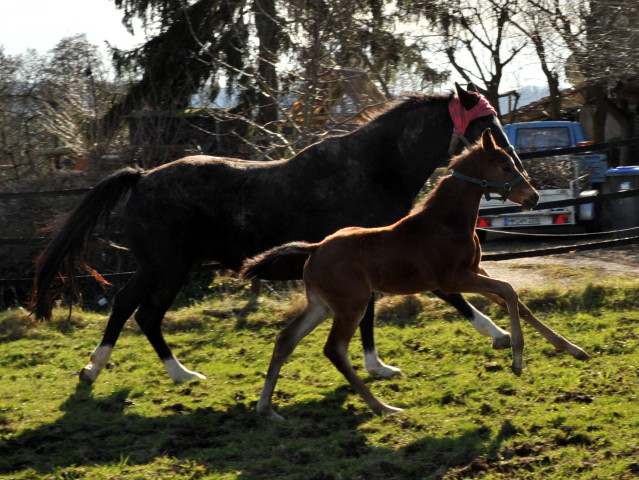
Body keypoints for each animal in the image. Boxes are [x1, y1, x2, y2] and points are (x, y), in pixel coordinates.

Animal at [32, 81, 524, 382]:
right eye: (487, 124)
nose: (518, 169)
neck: (372, 170)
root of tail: (142, 176)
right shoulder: (376, 255)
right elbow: (420, 300)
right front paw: (381, 366)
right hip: (169, 269)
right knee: (146, 315)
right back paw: (182, 374)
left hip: (156, 266)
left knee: (124, 307)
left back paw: (95, 370)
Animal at [240, 130, 592, 420]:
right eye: (505, 167)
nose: (533, 197)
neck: (446, 222)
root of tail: (314, 249)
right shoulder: (453, 278)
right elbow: (508, 290)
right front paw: (516, 358)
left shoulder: (475, 270)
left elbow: (518, 303)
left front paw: (574, 350)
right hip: (352, 304)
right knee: (334, 349)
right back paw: (383, 407)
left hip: (321, 305)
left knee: (286, 339)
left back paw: (266, 408)